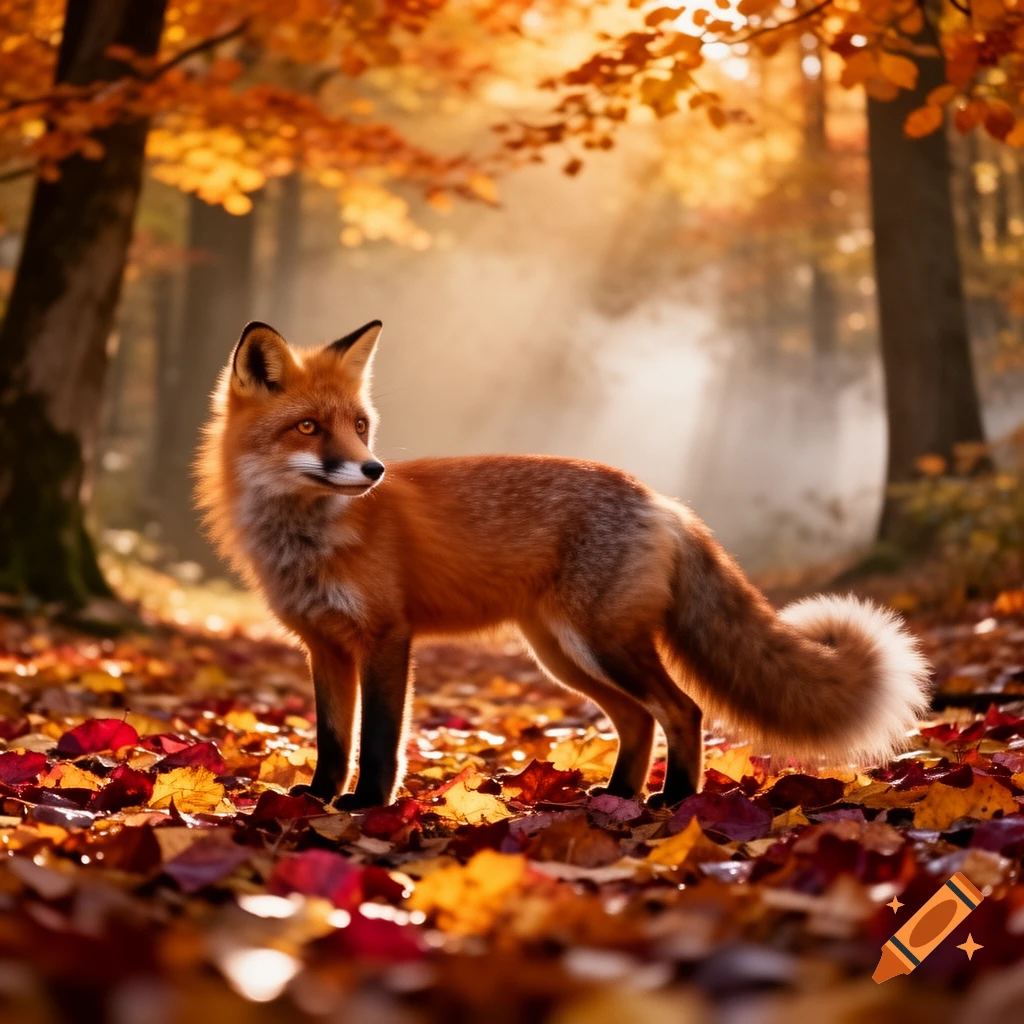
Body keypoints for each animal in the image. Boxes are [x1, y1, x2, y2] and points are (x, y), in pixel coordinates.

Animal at [197, 319, 931, 809]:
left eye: (359, 426)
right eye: (309, 428)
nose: (373, 470)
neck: (308, 538)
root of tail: (662, 500)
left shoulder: (386, 637)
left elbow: (377, 737)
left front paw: (366, 805)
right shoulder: (322, 645)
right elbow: (331, 737)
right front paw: (317, 797)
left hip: (603, 645)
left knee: (683, 710)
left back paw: (673, 801)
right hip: (564, 656)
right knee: (639, 720)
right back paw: (616, 795)